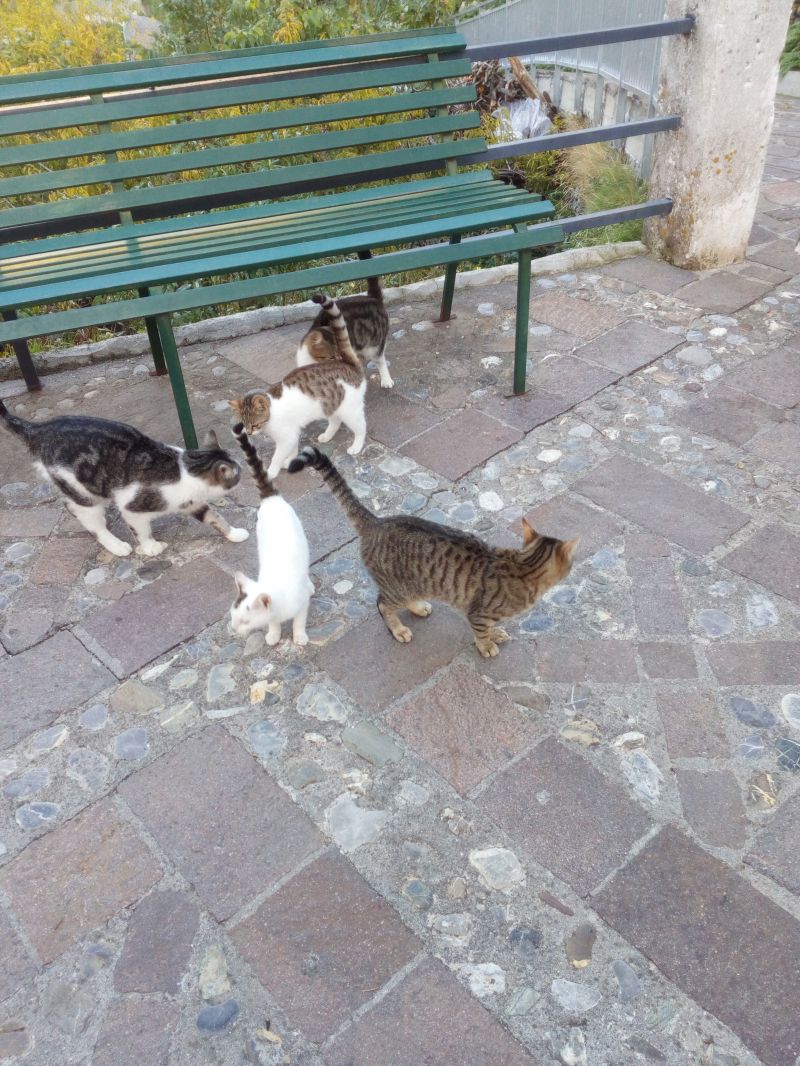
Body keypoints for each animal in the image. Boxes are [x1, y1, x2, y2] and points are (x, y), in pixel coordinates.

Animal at [0, 400, 248, 557]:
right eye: (237, 472)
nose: (245, 472)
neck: (185, 469)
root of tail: (38, 429)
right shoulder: (133, 506)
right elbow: (141, 530)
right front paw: (150, 547)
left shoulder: (192, 503)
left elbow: (215, 518)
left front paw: (234, 533)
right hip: (83, 491)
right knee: (90, 520)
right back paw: (116, 545)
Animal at [229, 293, 367, 480]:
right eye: (244, 423)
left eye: (255, 424)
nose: (249, 434)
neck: (272, 412)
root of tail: (349, 364)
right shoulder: (292, 434)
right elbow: (293, 449)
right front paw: (290, 461)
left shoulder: (285, 437)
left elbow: (277, 456)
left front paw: (271, 471)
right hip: (330, 405)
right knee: (335, 421)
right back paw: (327, 435)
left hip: (349, 410)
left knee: (361, 427)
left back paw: (356, 446)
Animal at [229, 422, 313, 647]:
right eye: (233, 617)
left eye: (245, 621)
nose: (234, 629)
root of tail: (271, 499)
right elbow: (273, 623)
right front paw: (274, 633)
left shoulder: (302, 604)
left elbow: (299, 621)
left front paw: (299, 635)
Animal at [288, 446, 578, 658]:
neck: (524, 565)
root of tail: (377, 522)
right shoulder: (478, 614)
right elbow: (481, 632)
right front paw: (487, 645)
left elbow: (492, 627)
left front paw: (496, 633)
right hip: (398, 588)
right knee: (382, 604)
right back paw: (399, 629)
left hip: (415, 585)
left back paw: (418, 608)